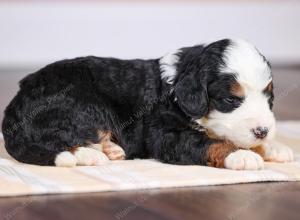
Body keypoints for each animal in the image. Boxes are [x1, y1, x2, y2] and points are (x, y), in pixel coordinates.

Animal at [1, 38, 292, 169]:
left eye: (269, 97)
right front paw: (242, 155)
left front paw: (274, 147)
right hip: (79, 105)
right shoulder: (165, 134)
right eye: (231, 99)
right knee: (60, 139)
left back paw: (110, 149)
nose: (263, 130)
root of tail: (14, 107)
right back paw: (92, 155)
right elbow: (211, 142)